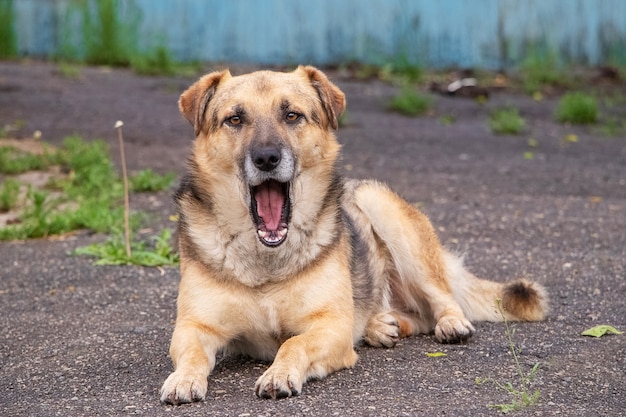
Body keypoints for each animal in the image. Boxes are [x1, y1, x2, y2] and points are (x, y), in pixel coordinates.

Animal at [160, 66, 544, 404]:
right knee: (413, 315)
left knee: (442, 299)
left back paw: (450, 323)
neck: (265, 259)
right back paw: (380, 325)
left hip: (382, 208)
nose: (267, 158)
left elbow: (292, 344)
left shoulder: (331, 327)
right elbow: (192, 354)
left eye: (292, 116)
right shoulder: (194, 327)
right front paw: (183, 379)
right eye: (235, 119)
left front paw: (278, 374)